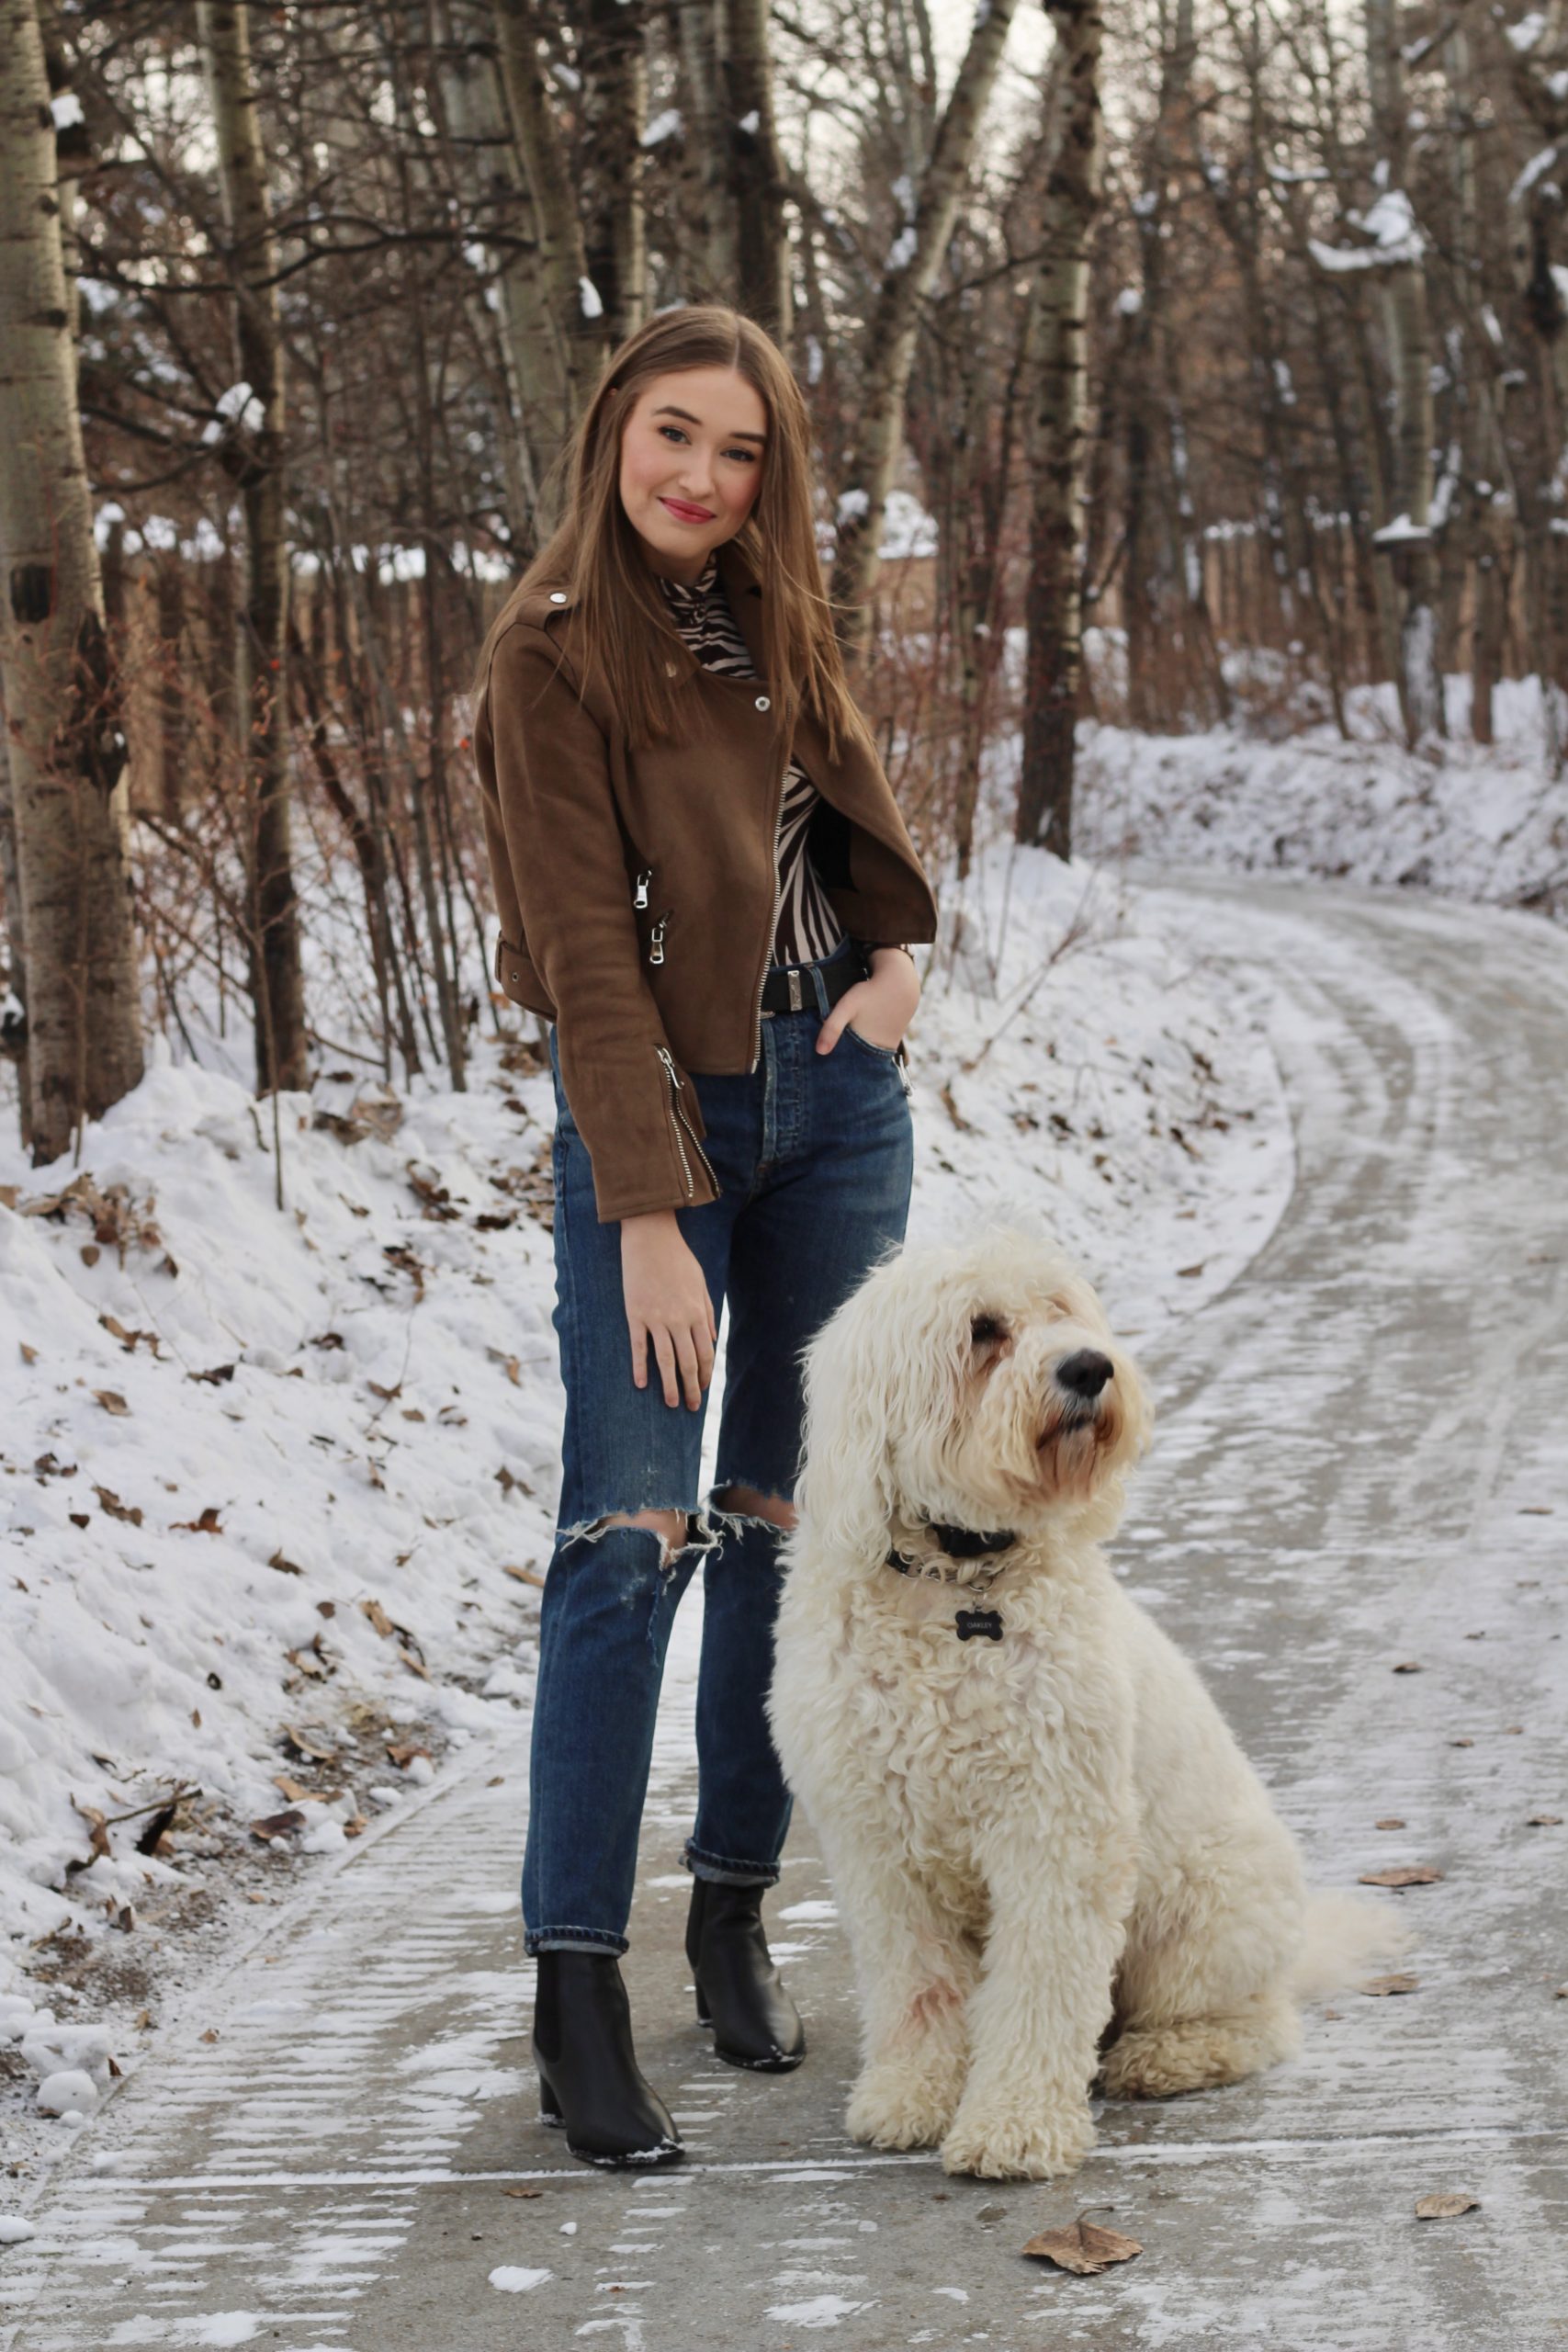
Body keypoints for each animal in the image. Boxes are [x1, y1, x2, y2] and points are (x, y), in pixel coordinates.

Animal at [771, 1232, 1401, 2182]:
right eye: (983, 1329)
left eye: (1063, 1310)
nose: (1089, 1367)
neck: (961, 1585)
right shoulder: (879, 1845)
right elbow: (914, 1985)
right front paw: (910, 2097)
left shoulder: (1055, 1830)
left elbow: (1039, 1987)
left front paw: (1014, 2126)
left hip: (1199, 1919)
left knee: (1254, 2023)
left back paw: (1162, 2056)